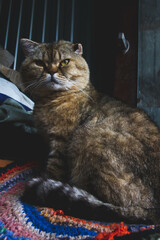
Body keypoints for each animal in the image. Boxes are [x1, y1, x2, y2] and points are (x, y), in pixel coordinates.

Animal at [19, 38, 160, 224]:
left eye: (64, 62)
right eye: (40, 63)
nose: (51, 72)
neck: (50, 100)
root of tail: (154, 211)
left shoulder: (61, 142)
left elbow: (53, 169)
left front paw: (44, 177)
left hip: (87, 139)